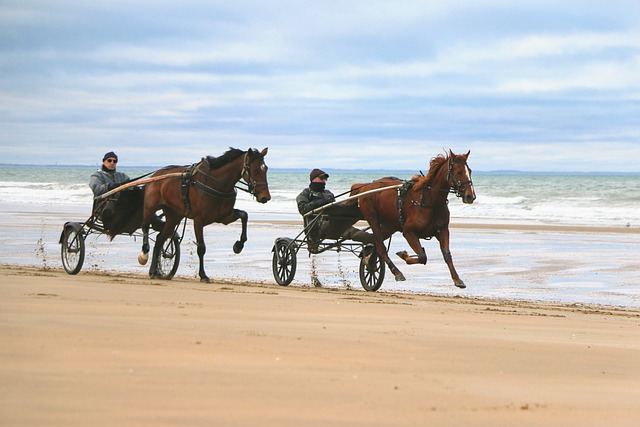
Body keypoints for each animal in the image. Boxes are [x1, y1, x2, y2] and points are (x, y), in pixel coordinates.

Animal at [140, 149, 270, 282]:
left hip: (174, 216)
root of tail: (155, 175)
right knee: (145, 227)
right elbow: (201, 248)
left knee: (159, 240)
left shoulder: (225, 217)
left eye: (265, 169)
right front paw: (203, 275)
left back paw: (154, 271)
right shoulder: (198, 220)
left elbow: (244, 215)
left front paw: (238, 245)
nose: (265, 197)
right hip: (150, 207)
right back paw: (145, 253)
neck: (216, 183)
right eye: (255, 170)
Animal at [350, 150, 476, 288]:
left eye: (470, 171)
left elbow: (446, 254)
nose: (470, 196)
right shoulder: (408, 232)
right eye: (459, 172)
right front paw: (404, 255)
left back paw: (370, 263)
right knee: (381, 247)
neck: (430, 201)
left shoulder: (443, 230)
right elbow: (422, 256)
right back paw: (396, 272)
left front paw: (457, 279)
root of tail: (366, 186)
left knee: (375, 243)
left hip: (389, 225)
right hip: (373, 219)